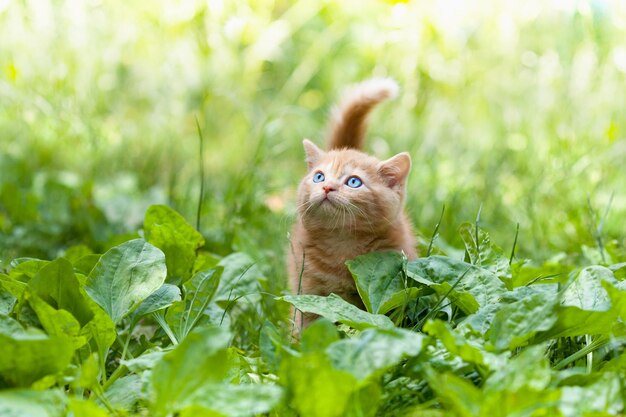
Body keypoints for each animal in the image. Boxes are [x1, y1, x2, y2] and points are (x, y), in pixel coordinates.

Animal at [288, 79, 416, 330]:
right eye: (319, 177)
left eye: (354, 182)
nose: (327, 188)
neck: (342, 243)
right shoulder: (306, 289)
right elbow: (306, 324)